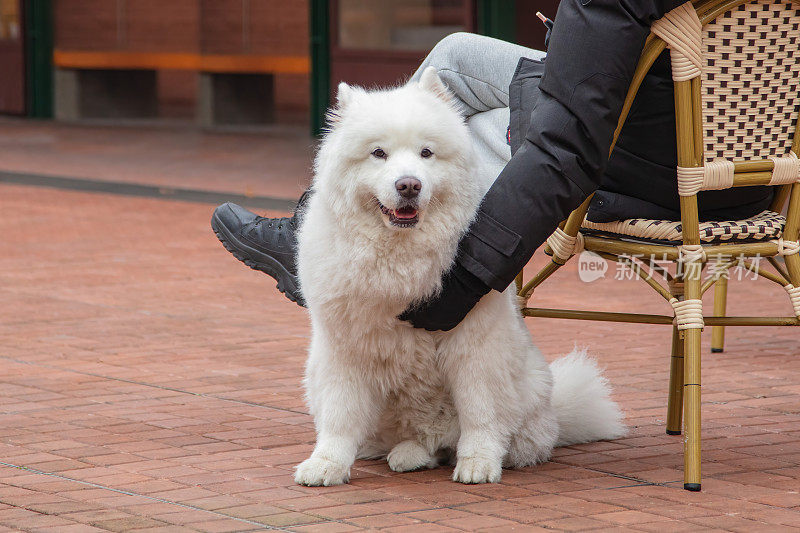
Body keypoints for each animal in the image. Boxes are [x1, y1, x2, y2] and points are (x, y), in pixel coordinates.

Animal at [294, 68, 624, 484]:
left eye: (426, 153)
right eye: (378, 153)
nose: (409, 184)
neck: (400, 257)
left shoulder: (474, 345)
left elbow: (480, 411)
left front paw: (479, 463)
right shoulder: (346, 347)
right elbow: (340, 415)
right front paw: (326, 464)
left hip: (528, 391)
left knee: (494, 436)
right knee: (417, 441)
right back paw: (410, 453)